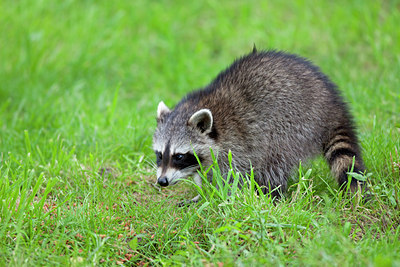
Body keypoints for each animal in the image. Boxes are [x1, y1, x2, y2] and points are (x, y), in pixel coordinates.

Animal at [153, 49, 366, 204]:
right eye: (160, 155)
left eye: (179, 156)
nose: (162, 181)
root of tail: (332, 106)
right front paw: (202, 193)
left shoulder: (236, 144)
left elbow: (233, 175)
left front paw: (222, 197)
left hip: (293, 126)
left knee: (275, 162)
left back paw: (271, 194)